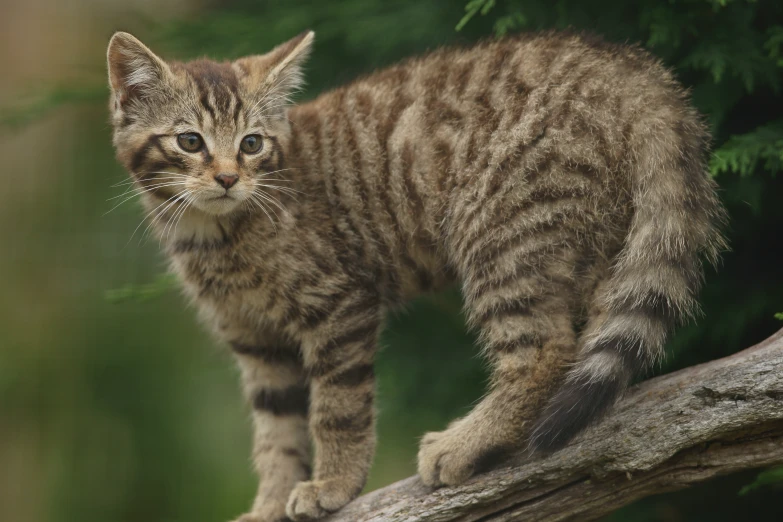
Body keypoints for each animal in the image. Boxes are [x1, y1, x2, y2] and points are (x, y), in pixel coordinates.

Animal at [107, 30, 724, 516]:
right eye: (190, 141)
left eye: (252, 144)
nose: (229, 178)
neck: (215, 234)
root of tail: (629, 69)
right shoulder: (258, 344)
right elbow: (276, 435)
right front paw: (269, 506)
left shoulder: (340, 305)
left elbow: (337, 409)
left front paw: (333, 483)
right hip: (589, 236)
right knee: (601, 322)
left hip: (502, 232)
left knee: (544, 349)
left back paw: (468, 443)